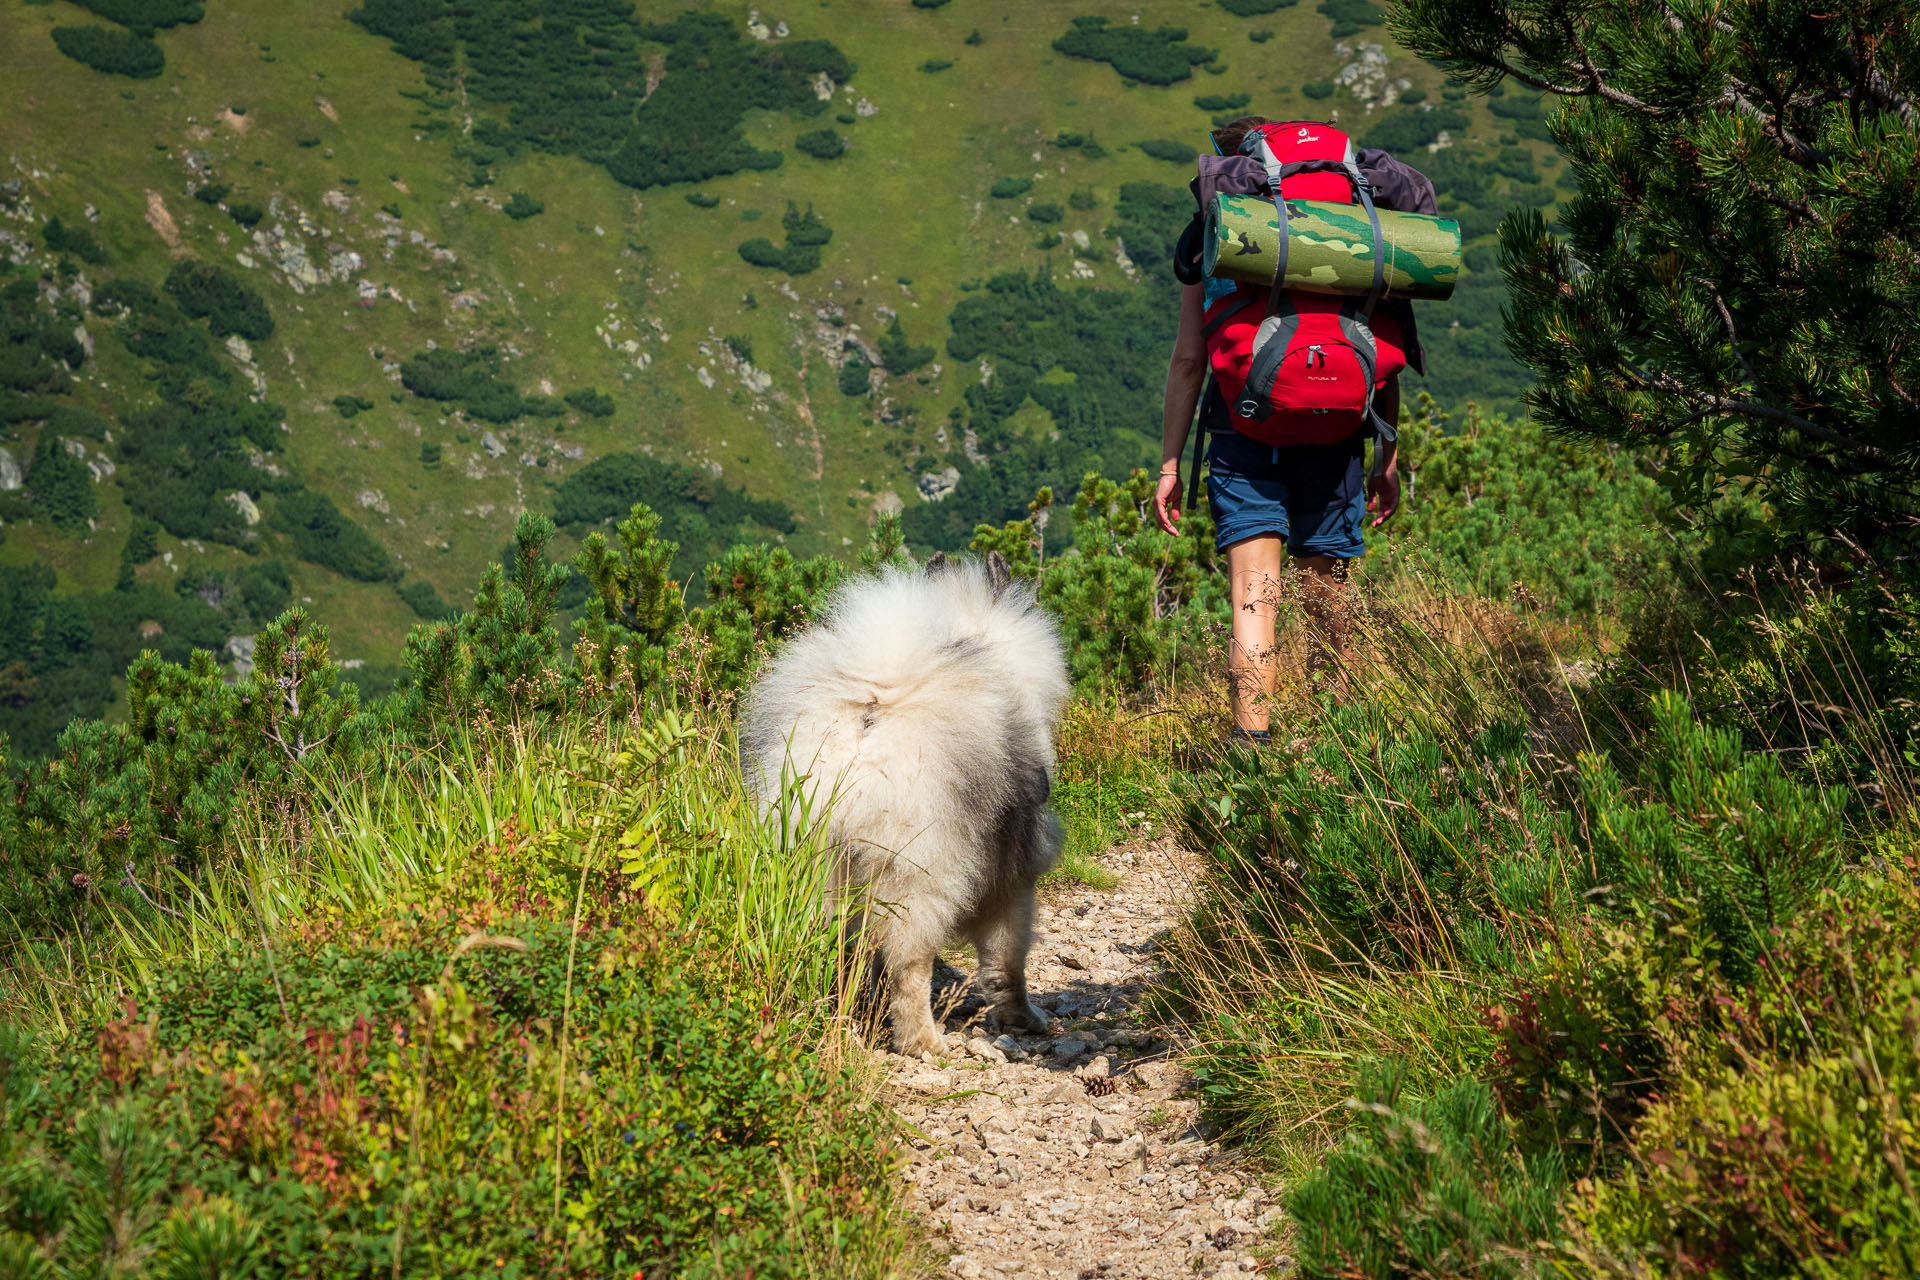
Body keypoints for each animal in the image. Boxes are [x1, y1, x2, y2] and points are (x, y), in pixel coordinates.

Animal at [737, 552, 1075, 1059]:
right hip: (918, 877)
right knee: (909, 965)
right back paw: (923, 1041)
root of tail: (868, 723)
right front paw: (1024, 1018)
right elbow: (1007, 962)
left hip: (814, 868)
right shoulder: (1013, 879)